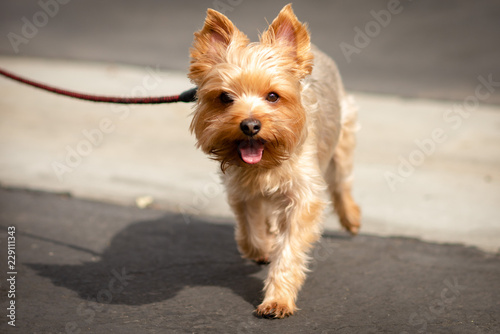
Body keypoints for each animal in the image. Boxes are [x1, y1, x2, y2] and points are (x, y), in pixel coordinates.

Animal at [188, 3, 360, 318]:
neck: (265, 163)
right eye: (225, 98)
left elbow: (289, 249)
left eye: (273, 96)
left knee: (341, 183)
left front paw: (278, 299)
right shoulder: (241, 190)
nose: (250, 125)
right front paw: (262, 248)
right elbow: (251, 232)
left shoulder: (304, 197)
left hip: (343, 135)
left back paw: (351, 217)